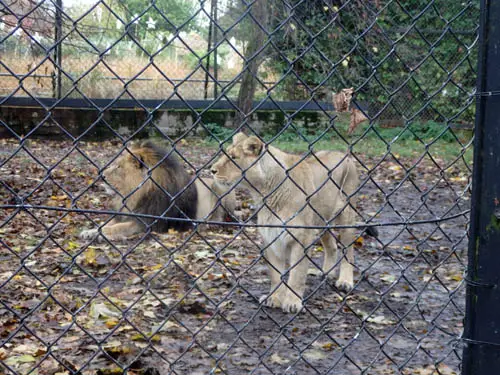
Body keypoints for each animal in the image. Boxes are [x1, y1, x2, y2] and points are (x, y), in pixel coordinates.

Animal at [81, 140, 237, 241]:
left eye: (118, 167)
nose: (101, 175)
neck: (135, 194)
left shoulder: (149, 222)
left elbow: (119, 227)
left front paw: (101, 234)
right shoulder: (127, 213)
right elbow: (107, 223)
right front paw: (90, 231)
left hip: (221, 188)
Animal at [211, 134, 364, 312]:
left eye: (233, 158)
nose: (212, 170)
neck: (263, 192)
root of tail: (344, 155)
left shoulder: (302, 238)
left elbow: (297, 274)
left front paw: (292, 302)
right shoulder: (271, 236)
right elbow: (276, 275)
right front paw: (274, 299)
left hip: (347, 216)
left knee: (348, 251)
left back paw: (345, 282)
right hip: (322, 221)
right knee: (332, 246)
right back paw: (327, 273)